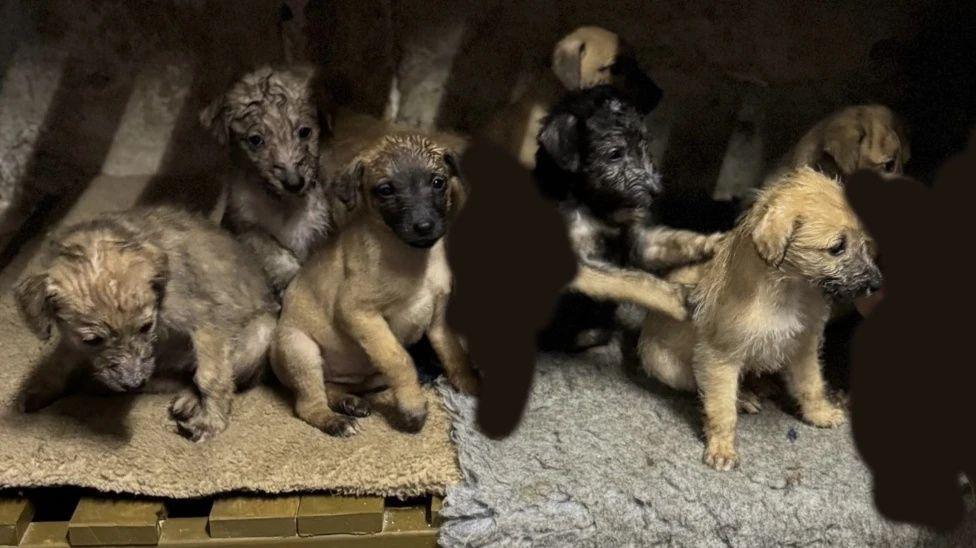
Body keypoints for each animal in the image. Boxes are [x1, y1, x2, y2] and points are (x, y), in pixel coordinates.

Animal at [14, 208, 278, 444]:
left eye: (146, 326)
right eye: (93, 340)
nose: (133, 382)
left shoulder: (207, 323)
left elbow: (211, 376)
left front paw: (211, 423)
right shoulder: (74, 340)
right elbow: (60, 360)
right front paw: (39, 388)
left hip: (261, 334)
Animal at [200, 65, 334, 296]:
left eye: (304, 132)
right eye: (255, 140)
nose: (294, 183)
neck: (284, 206)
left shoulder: (317, 227)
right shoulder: (241, 223)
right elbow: (265, 245)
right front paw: (286, 272)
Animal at [270, 132, 476, 436]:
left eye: (438, 182)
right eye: (386, 190)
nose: (424, 226)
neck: (414, 259)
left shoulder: (438, 320)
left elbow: (454, 354)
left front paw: (470, 385)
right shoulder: (359, 313)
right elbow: (399, 360)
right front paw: (413, 406)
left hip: (370, 373)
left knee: (332, 386)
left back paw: (349, 401)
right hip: (301, 350)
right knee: (308, 403)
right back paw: (335, 420)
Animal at [536, 85, 720, 352]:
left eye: (643, 144)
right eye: (615, 153)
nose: (656, 190)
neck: (596, 205)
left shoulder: (639, 244)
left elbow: (674, 240)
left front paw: (711, 243)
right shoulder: (578, 262)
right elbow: (634, 279)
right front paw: (677, 299)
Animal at [640, 168, 884, 470]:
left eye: (863, 241)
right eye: (837, 247)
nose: (877, 284)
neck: (790, 289)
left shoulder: (804, 345)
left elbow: (812, 384)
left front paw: (820, 413)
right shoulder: (718, 356)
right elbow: (721, 407)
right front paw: (721, 448)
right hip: (665, 365)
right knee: (700, 386)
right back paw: (744, 396)